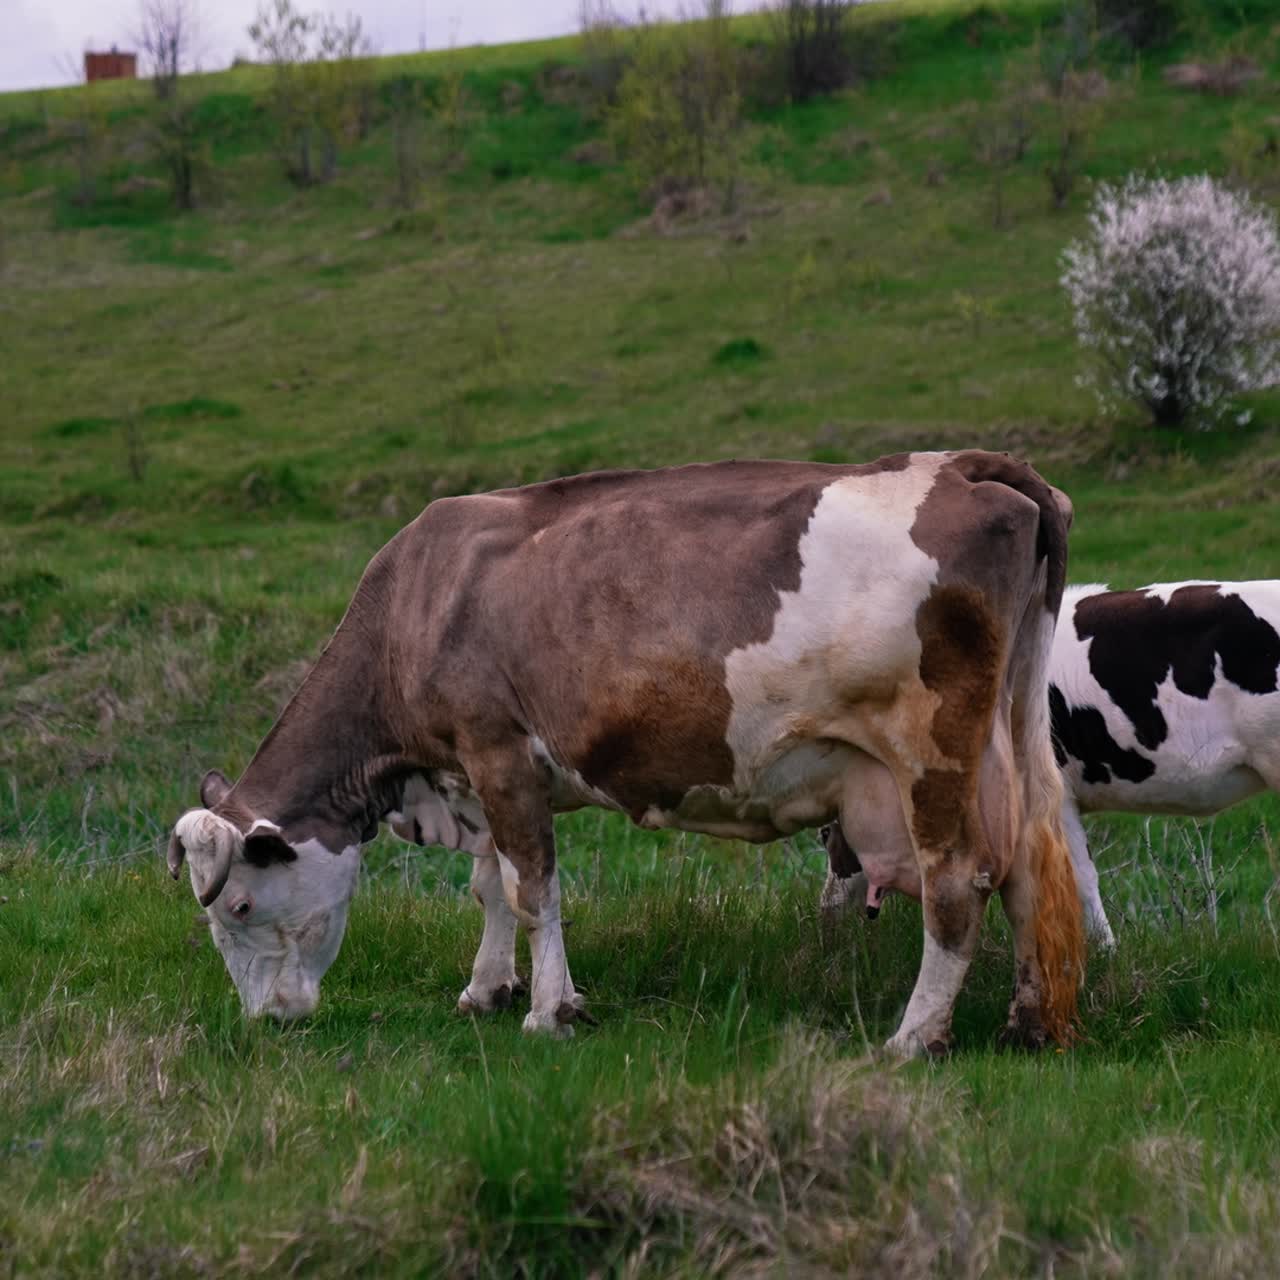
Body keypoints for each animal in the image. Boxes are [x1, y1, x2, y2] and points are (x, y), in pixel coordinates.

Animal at [166, 451, 1084, 1058]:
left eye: (238, 906)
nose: (265, 1021)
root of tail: (962, 466)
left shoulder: (498, 751)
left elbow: (531, 889)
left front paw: (549, 1010)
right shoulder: (476, 769)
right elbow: (489, 887)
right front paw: (486, 988)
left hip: (931, 755)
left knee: (959, 880)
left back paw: (913, 1036)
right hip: (1014, 740)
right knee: (1029, 869)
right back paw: (1027, 1021)